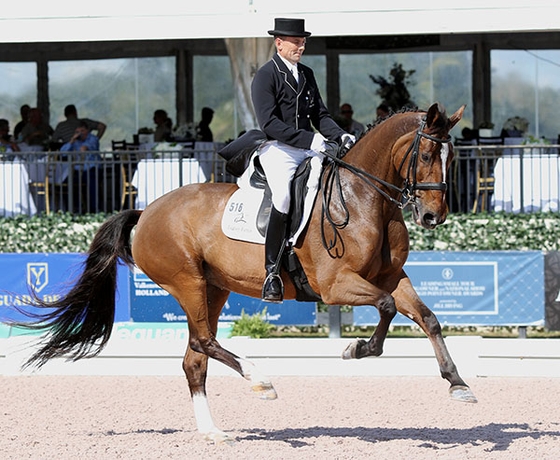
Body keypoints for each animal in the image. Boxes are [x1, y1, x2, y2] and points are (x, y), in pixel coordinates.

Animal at [16, 103, 476, 442]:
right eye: (427, 154)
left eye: (452, 157)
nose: (433, 216)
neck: (363, 197)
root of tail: (146, 211)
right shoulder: (335, 286)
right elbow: (385, 309)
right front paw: (356, 348)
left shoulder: (392, 278)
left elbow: (427, 317)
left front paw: (458, 384)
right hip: (187, 281)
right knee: (204, 341)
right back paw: (261, 381)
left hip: (213, 288)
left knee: (195, 358)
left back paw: (213, 432)